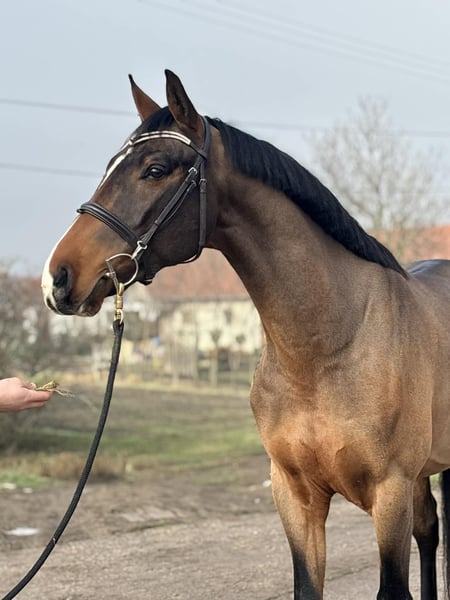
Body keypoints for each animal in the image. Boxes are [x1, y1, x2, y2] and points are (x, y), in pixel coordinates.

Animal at [41, 70, 450, 600]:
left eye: (155, 169)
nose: (58, 278)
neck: (328, 347)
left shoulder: (390, 492)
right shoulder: (295, 495)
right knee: (430, 528)